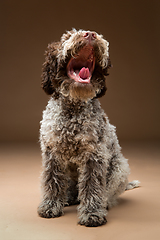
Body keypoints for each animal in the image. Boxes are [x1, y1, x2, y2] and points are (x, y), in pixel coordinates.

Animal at [37, 28, 139, 227]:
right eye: (68, 36)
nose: (90, 34)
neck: (73, 109)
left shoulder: (94, 155)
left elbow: (92, 185)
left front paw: (92, 213)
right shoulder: (52, 152)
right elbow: (52, 180)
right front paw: (51, 205)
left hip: (120, 168)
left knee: (107, 193)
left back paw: (104, 203)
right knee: (70, 187)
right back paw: (68, 197)